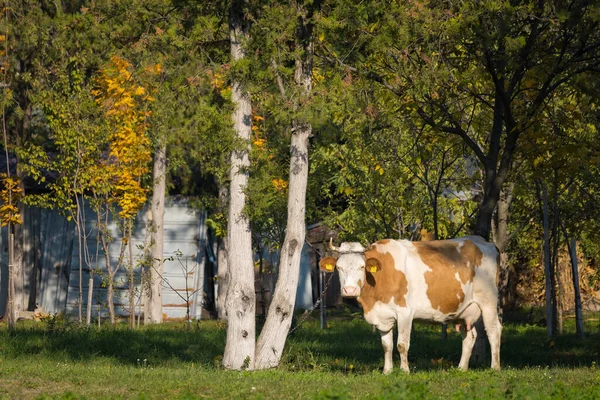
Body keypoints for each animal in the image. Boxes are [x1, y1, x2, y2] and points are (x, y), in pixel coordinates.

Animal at [318, 236, 502, 374]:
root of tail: (484, 242)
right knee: (470, 337)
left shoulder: (405, 312)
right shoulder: (383, 315)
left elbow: (401, 344)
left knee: (494, 331)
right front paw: (387, 371)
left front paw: (404, 371)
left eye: (362, 266)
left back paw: (495, 367)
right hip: (466, 309)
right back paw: (461, 368)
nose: (349, 290)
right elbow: (386, 345)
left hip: (488, 302)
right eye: (339, 267)